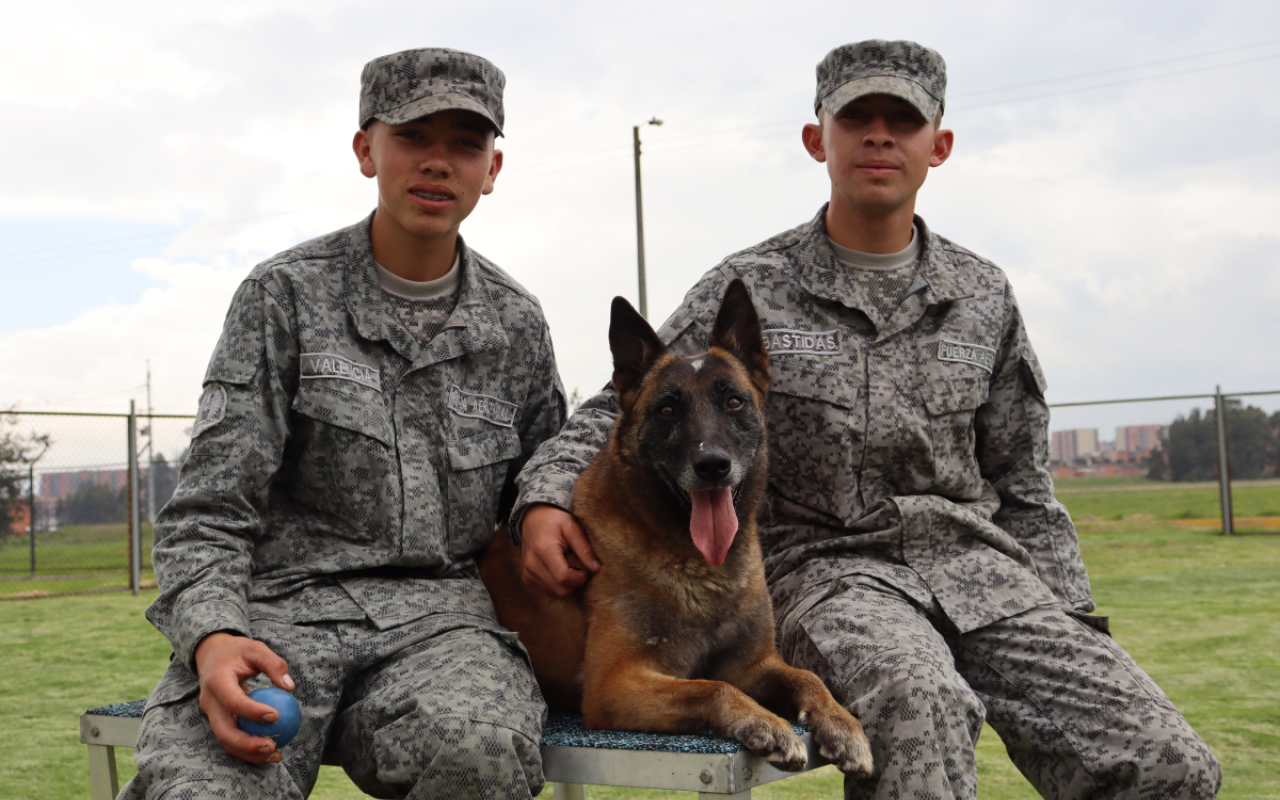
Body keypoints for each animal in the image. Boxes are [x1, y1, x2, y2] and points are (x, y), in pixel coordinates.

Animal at [481, 279, 870, 773]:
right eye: (667, 410)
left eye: (734, 402)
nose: (713, 466)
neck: (700, 568)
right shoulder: (616, 684)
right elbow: (712, 687)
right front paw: (765, 723)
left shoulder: (754, 665)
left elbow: (807, 677)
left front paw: (842, 725)